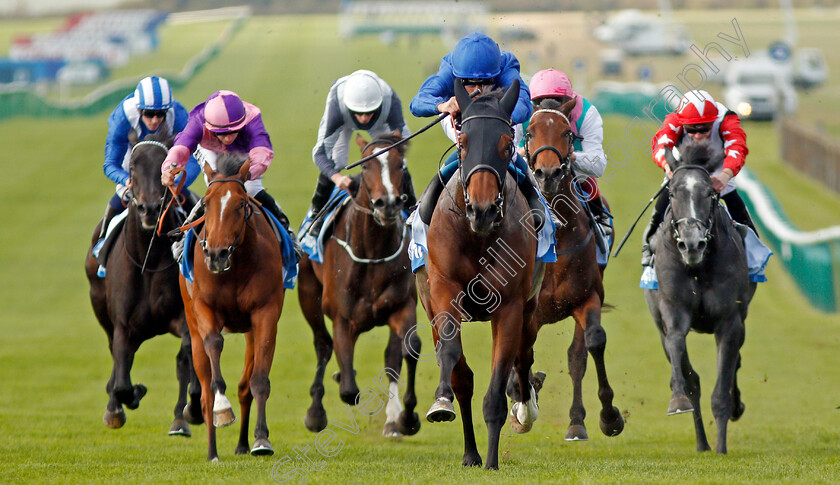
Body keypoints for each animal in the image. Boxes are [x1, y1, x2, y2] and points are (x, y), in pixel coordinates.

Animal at [83, 129, 202, 434]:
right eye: (134, 167)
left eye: (166, 165)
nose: (149, 209)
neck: (148, 262)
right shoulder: (123, 325)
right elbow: (123, 380)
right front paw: (125, 400)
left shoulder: (182, 318)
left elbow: (187, 360)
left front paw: (191, 410)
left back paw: (181, 418)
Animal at [177, 153, 286, 460]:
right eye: (206, 203)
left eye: (240, 204)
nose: (216, 254)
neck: (235, 267)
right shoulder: (204, 308)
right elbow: (214, 344)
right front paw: (222, 408)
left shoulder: (265, 314)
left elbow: (258, 380)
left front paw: (261, 439)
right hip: (192, 326)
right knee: (204, 392)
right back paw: (212, 450)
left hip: (249, 330)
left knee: (245, 386)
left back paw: (241, 444)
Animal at [298, 130, 424, 436]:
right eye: (366, 165)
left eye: (401, 165)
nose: (388, 203)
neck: (373, 251)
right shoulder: (343, 318)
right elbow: (348, 390)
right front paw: (340, 379)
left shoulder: (402, 306)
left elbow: (407, 350)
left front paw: (406, 417)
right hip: (308, 294)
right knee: (323, 344)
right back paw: (316, 412)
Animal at [416, 79, 540, 468]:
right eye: (463, 141)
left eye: (506, 144)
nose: (482, 210)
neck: (477, 237)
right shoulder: (443, 290)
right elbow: (451, 357)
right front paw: (441, 401)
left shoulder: (511, 307)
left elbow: (498, 386)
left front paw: (492, 460)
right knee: (463, 377)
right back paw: (469, 451)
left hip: (530, 309)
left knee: (523, 358)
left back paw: (523, 411)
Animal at [516, 100, 628, 440]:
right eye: (529, 132)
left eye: (568, 133)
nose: (548, 173)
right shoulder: (529, 310)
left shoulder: (586, 298)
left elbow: (591, 345)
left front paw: (608, 416)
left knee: (577, 355)